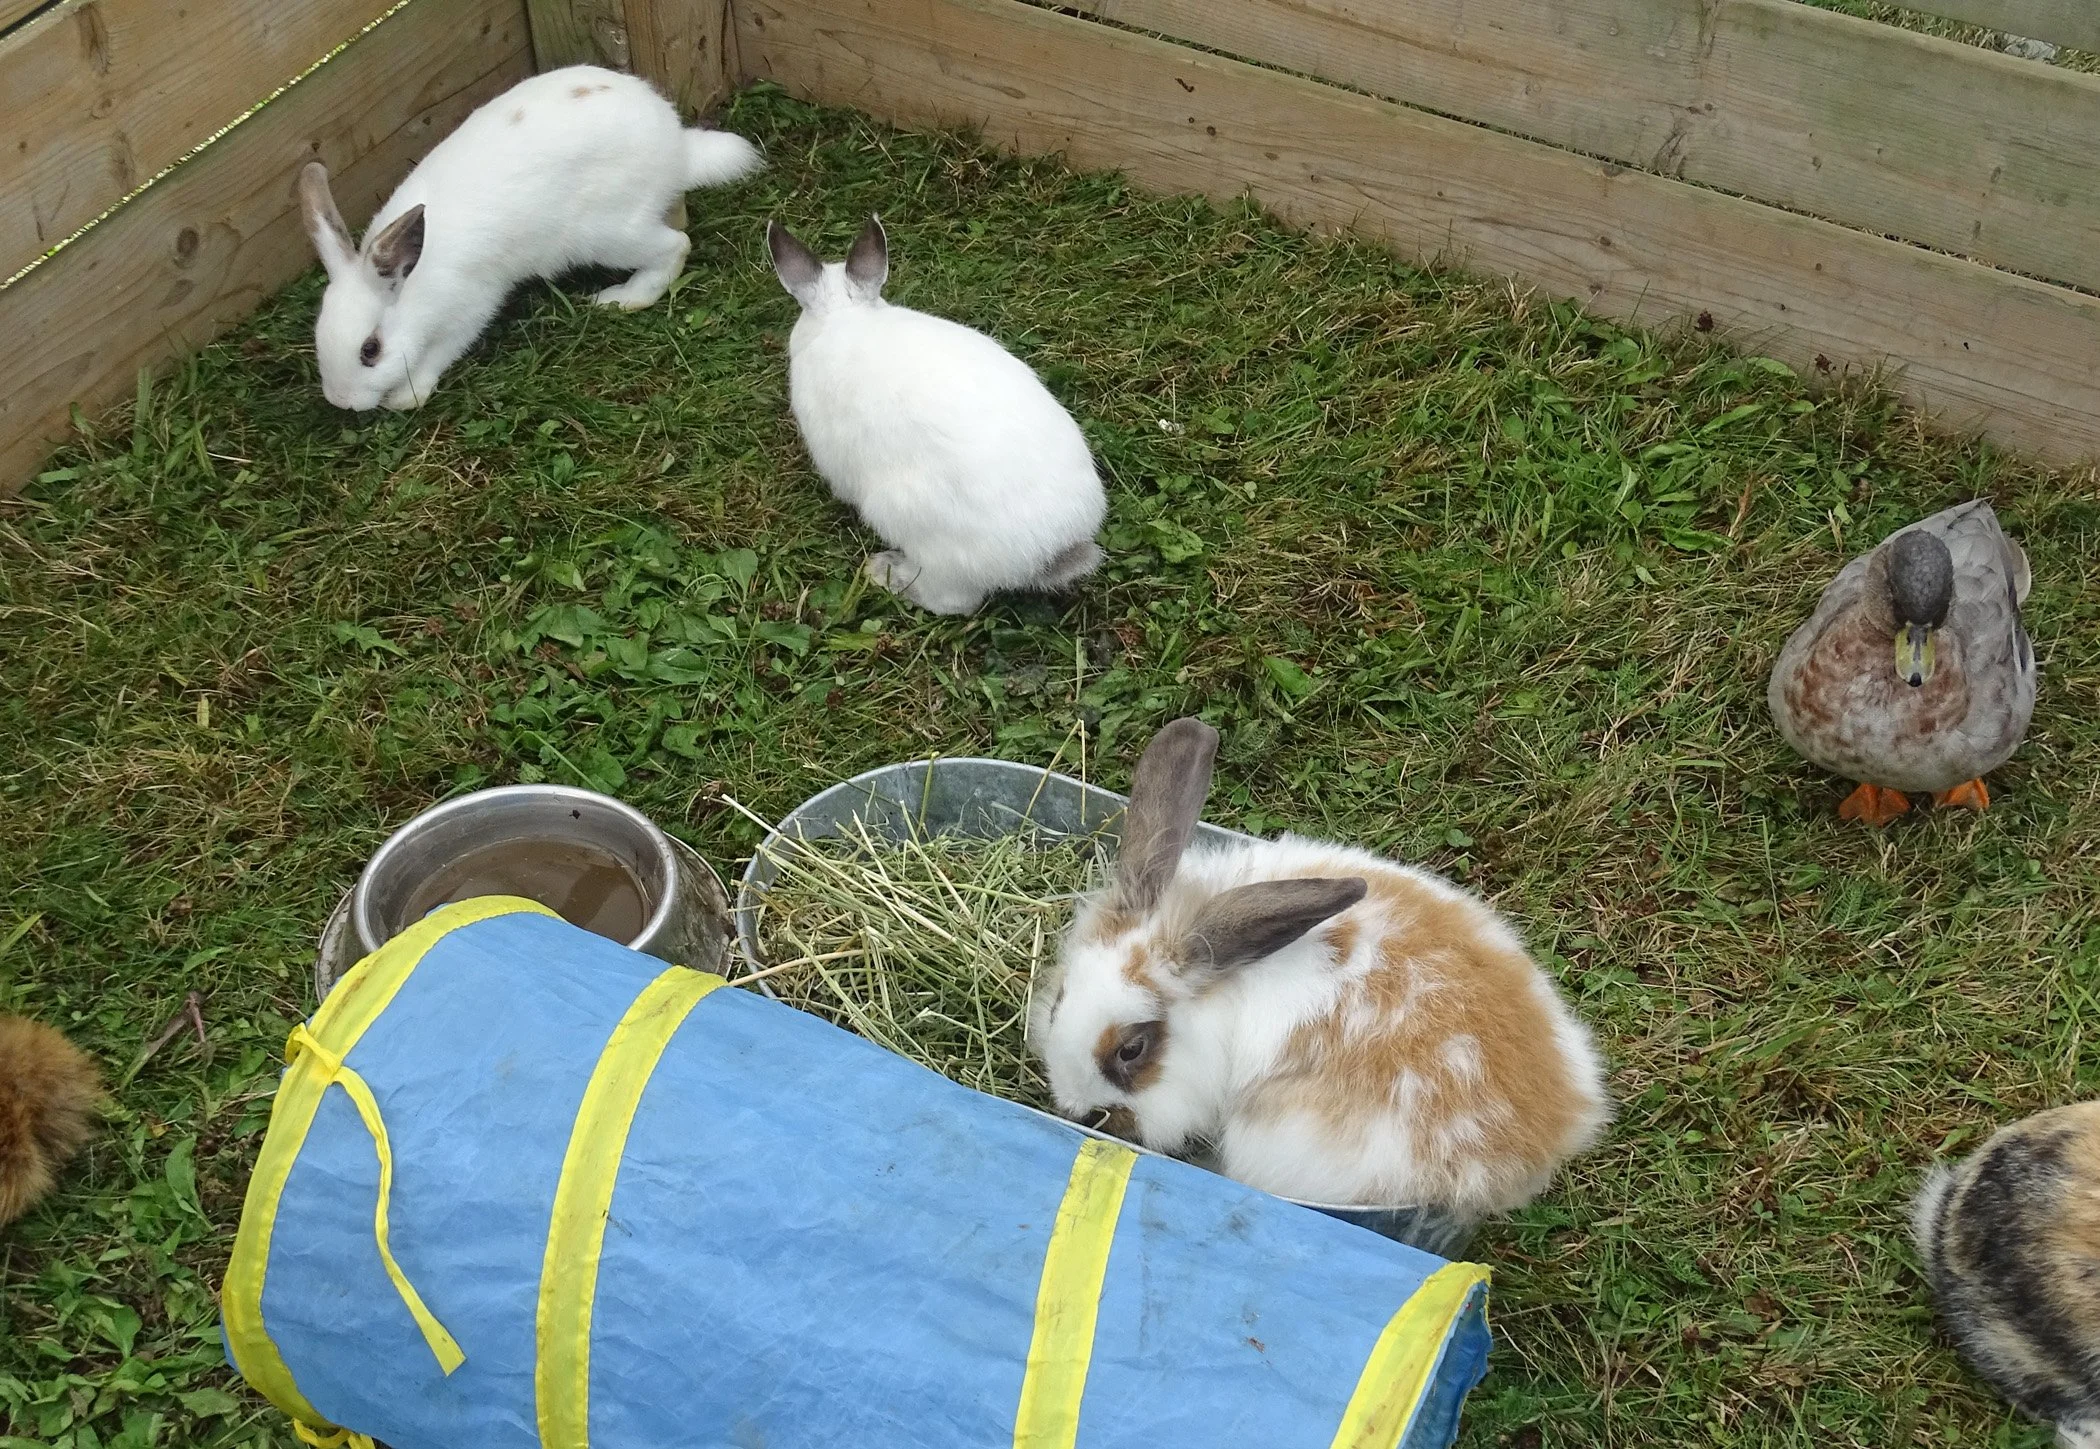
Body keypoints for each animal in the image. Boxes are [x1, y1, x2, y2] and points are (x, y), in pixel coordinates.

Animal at [298, 65, 762, 411]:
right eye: (318, 336)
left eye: (370, 350)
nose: (341, 401)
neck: (413, 282)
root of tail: (678, 151)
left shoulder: (469, 307)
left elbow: (439, 352)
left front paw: (406, 397)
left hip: (606, 233)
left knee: (676, 245)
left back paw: (621, 298)